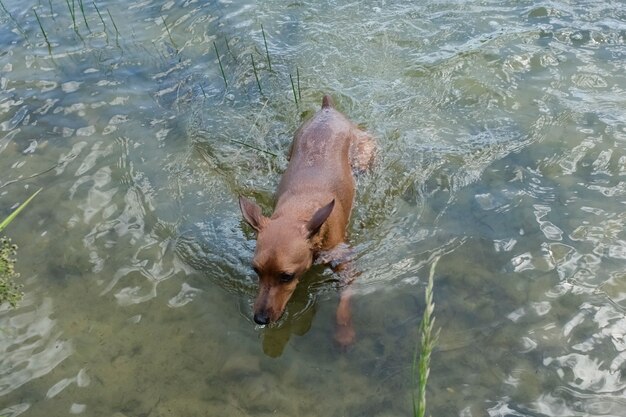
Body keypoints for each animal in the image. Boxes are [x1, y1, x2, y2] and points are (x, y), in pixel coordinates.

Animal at [239, 94, 372, 344]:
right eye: (256, 270)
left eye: (286, 276)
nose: (260, 319)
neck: (299, 210)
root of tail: (327, 108)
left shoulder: (345, 265)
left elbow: (345, 299)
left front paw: (344, 331)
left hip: (364, 155)